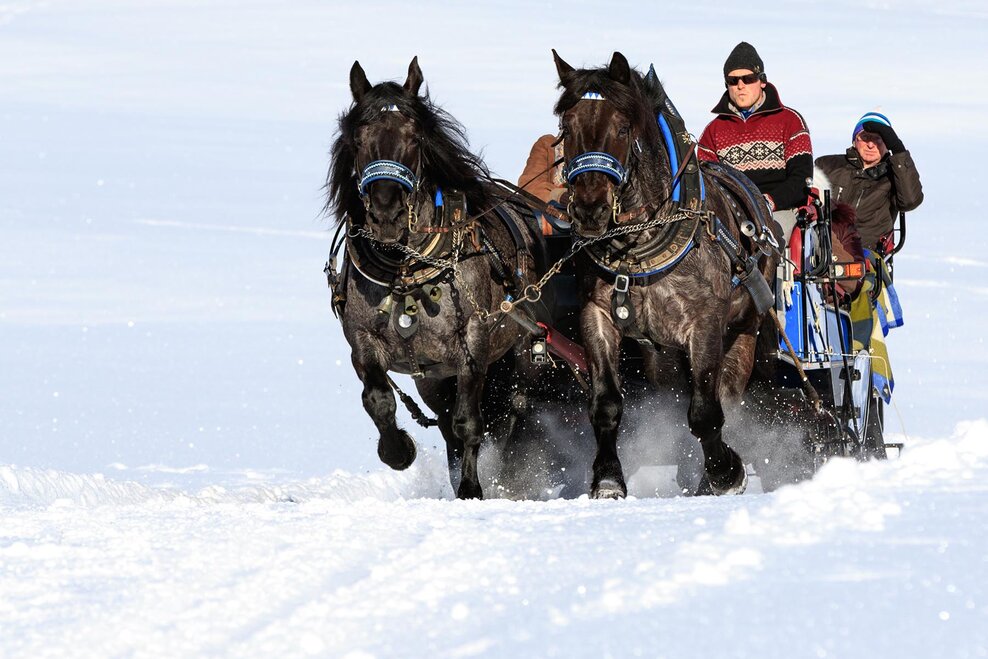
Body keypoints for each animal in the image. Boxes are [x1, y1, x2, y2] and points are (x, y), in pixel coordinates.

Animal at [325, 57, 547, 499]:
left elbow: (469, 422)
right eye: (358, 140)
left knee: (514, 410)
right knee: (449, 425)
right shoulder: (363, 342)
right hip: (433, 379)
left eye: (414, 139)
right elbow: (379, 400)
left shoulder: (472, 345)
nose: (387, 214)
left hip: (521, 355)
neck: (406, 271)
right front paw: (398, 451)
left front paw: (472, 489)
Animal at [551, 51, 781, 498]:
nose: (589, 210)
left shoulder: (704, 323)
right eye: (566, 129)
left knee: (725, 396)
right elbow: (606, 404)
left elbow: (705, 412)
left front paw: (725, 472)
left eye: (623, 128)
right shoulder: (597, 316)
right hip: (664, 357)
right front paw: (608, 479)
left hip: (745, 328)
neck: (639, 247)